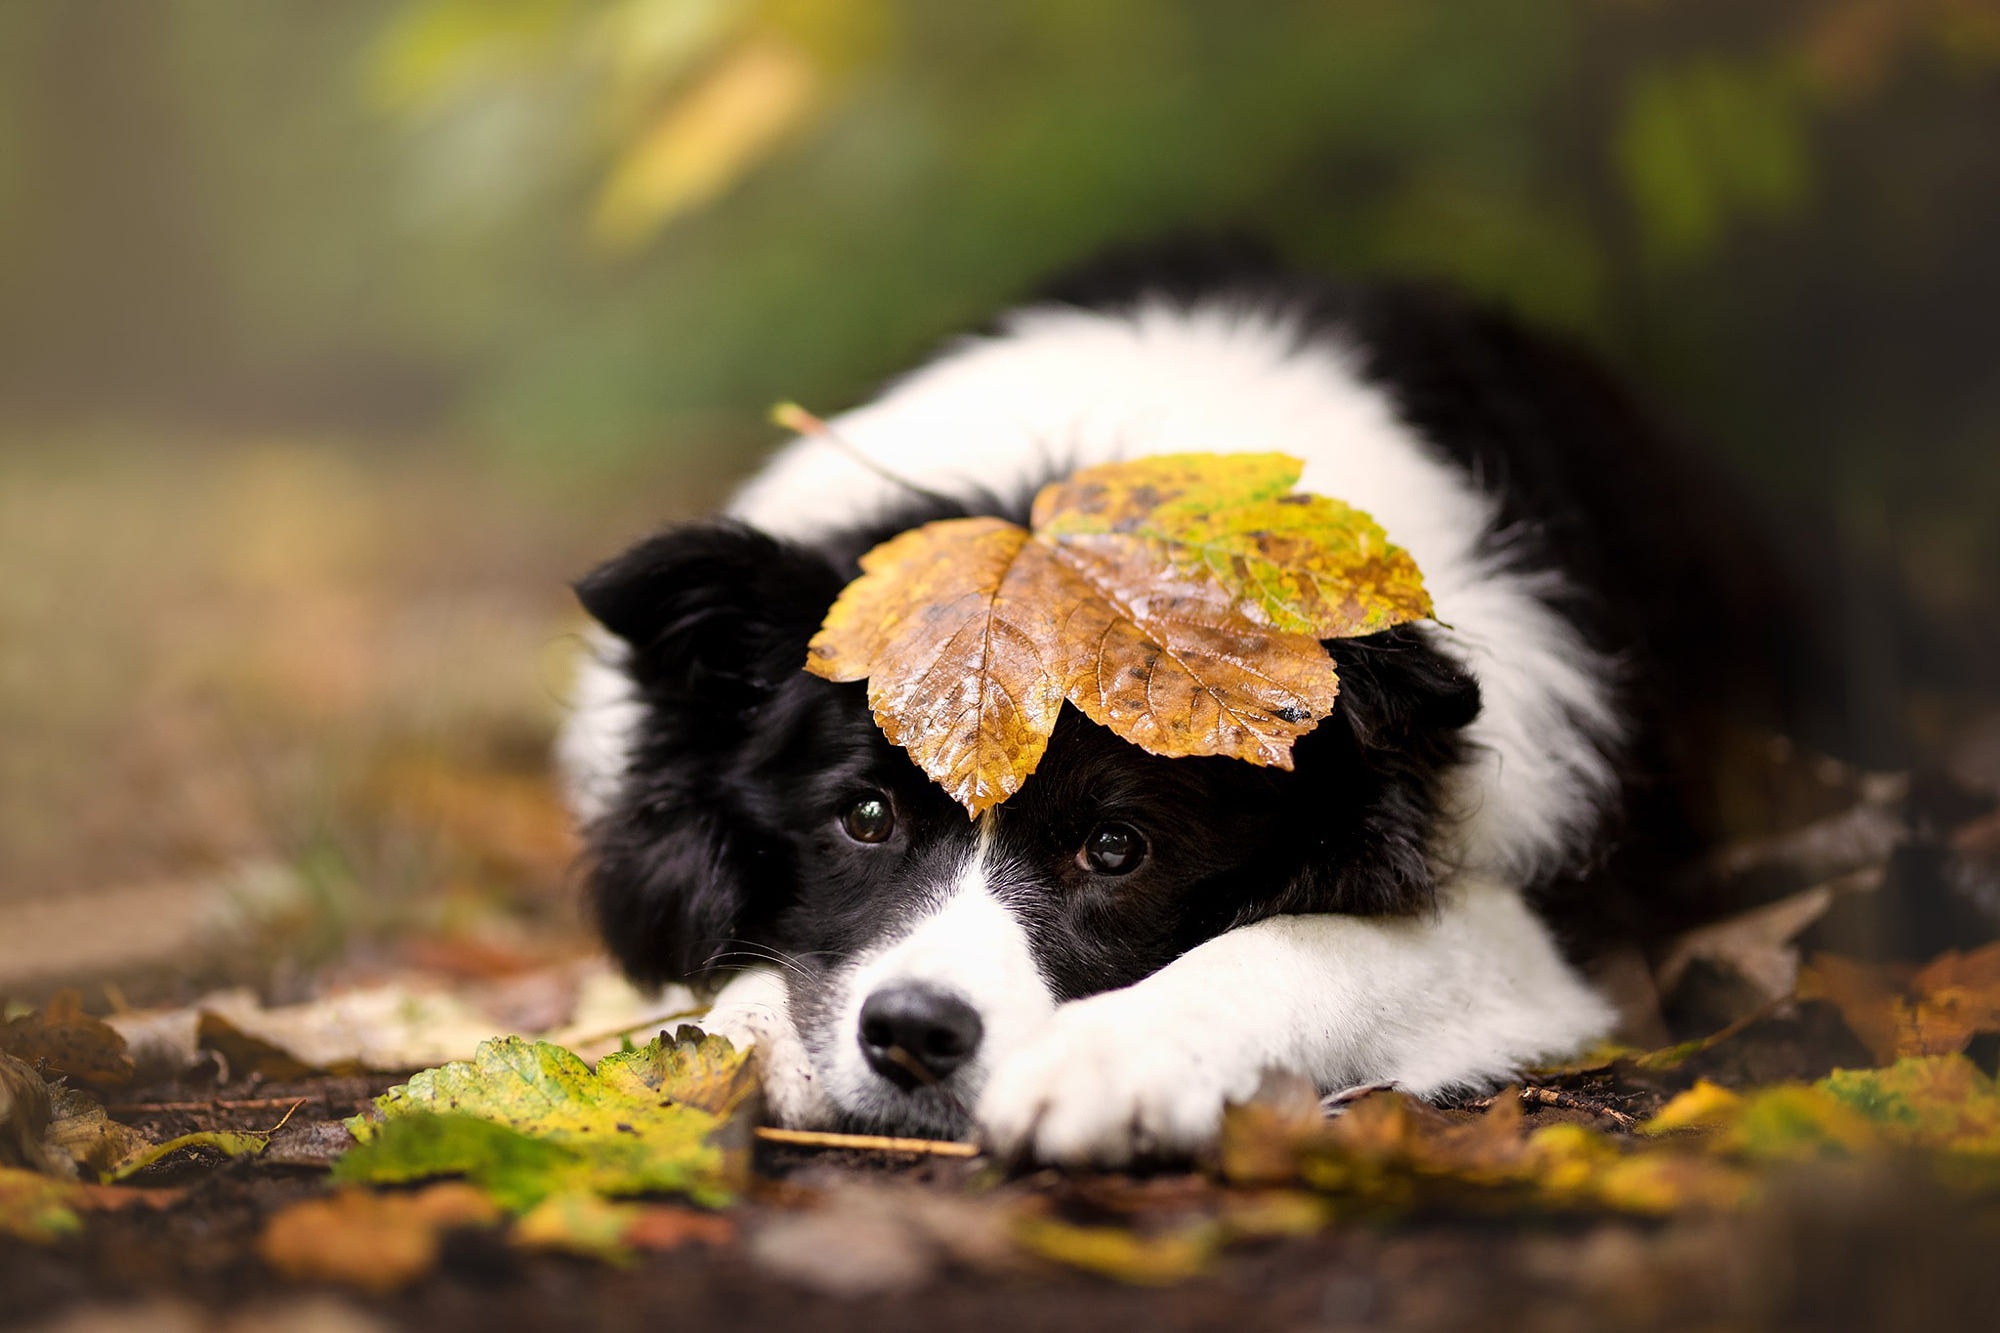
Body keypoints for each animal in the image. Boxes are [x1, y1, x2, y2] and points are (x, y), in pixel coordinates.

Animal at [556, 244, 1792, 1160]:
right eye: (864, 817)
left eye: (1117, 848)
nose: (911, 1035)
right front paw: (731, 1034)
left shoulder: (1547, 930)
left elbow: (1308, 945)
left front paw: (1111, 1061)